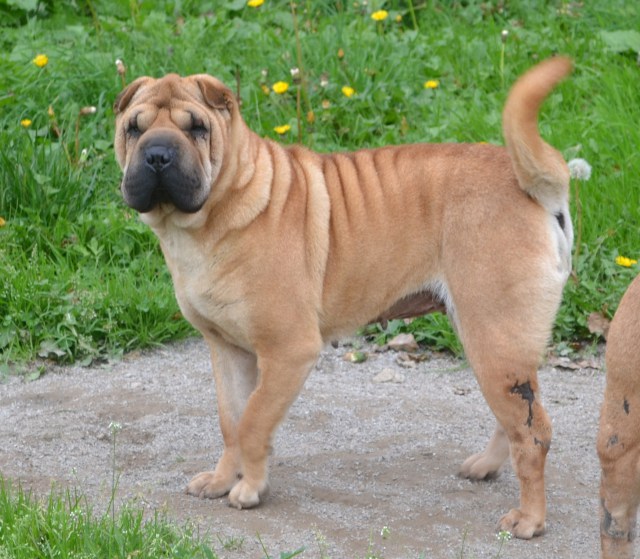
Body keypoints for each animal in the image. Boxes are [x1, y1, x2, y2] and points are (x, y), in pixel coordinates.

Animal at [114, 55, 576, 540]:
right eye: (134, 128)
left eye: (197, 128)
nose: (157, 154)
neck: (218, 209)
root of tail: (533, 189)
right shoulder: (227, 350)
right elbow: (231, 422)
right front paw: (223, 480)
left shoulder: (288, 350)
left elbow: (255, 420)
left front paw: (250, 489)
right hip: (494, 343)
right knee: (515, 420)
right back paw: (485, 467)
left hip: (493, 339)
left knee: (533, 432)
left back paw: (529, 518)